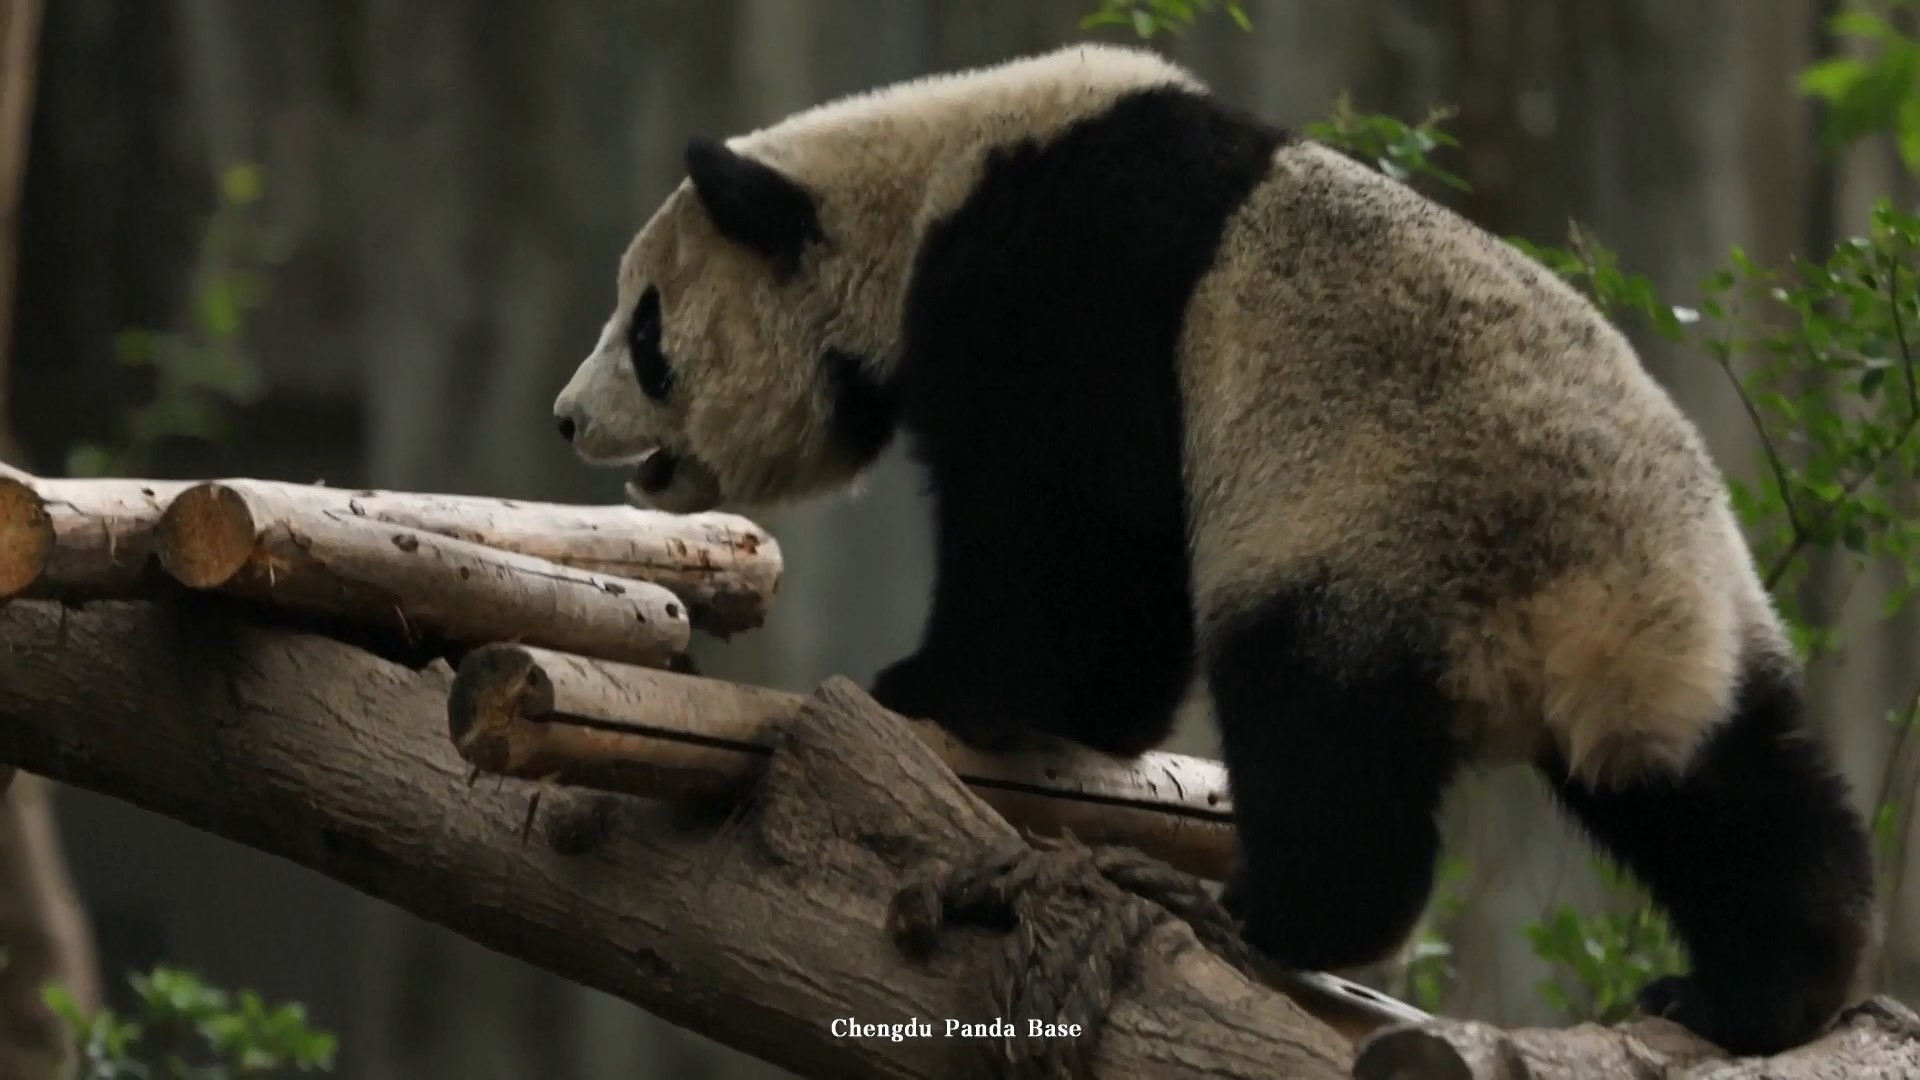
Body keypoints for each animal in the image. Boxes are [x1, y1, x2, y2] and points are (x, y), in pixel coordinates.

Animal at [551, 44, 1878, 1056]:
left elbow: (1070, 520)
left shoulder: (1059, 279)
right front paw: (1079, 715)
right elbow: (1117, 552)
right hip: (1684, 621)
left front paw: (938, 688)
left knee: (1317, 720)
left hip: (1384, 530)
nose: (567, 418)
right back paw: (1763, 987)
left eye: (645, 328)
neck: (924, 182)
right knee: (1728, 788)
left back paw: (1281, 912)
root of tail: (1587, 617)